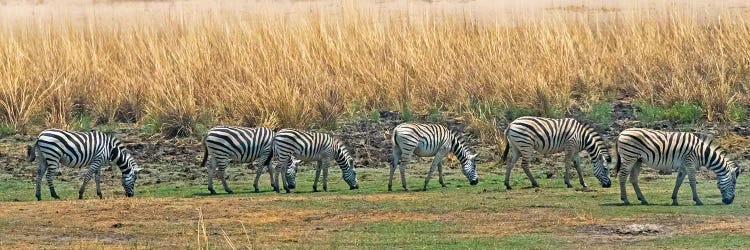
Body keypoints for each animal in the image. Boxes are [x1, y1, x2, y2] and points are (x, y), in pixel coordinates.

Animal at [616, 128, 748, 206]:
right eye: (734, 184)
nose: (729, 201)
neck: (702, 153)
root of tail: (621, 132)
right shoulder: (690, 164)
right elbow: (692, 182)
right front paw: (698, 200)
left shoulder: (684, 166)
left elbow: (678, 182)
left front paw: (674, 200)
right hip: (629, 156)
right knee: (622, 176)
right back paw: (625, 200)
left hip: (637, 160)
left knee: (633, 179)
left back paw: (643, 200)